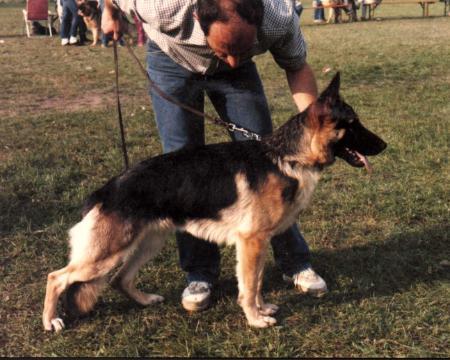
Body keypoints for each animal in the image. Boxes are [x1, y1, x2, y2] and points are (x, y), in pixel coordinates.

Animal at [43, 74, 386, 332]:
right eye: (353, 123)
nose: (385, 145)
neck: (286, 157)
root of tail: (105, 190)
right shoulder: (251, 242)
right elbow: (248, 287)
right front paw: (255, 320)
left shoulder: (257, 244)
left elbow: (255, 283)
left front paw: (262, 309)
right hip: (105, 255)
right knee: (56, 277)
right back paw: (52, 321)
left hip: (146, 244)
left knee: (119, 279)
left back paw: (145, 300)